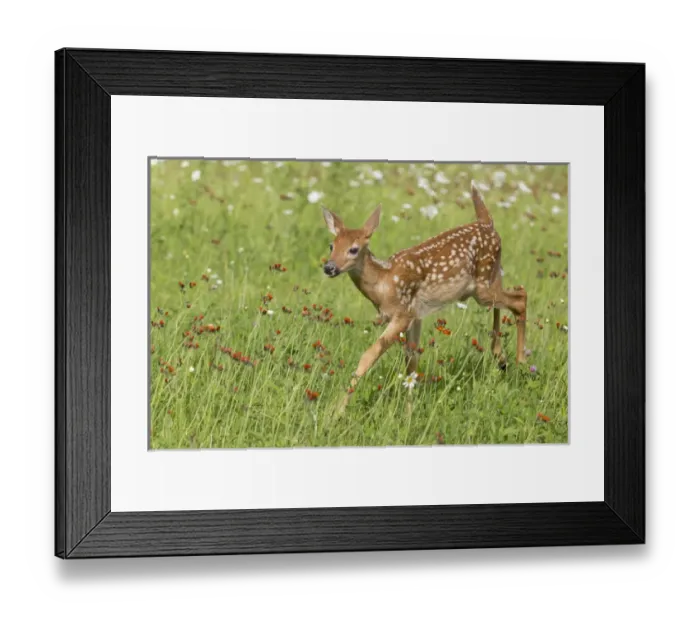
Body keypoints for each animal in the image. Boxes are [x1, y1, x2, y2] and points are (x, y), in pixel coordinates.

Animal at [322, 181, 527, 405]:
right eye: (331, 245)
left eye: (354, 249)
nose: (329, 267)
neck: (384, 282)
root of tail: (487, 223)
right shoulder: (415, 315)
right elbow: (411, 362)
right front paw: (409, 409)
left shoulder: (402, 314)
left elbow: (369, 355)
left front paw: (338, 408)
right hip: (489, 280)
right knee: (509, 296)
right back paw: (501, 358)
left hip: (483, 284)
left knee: (520, 298)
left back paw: (521, 364)